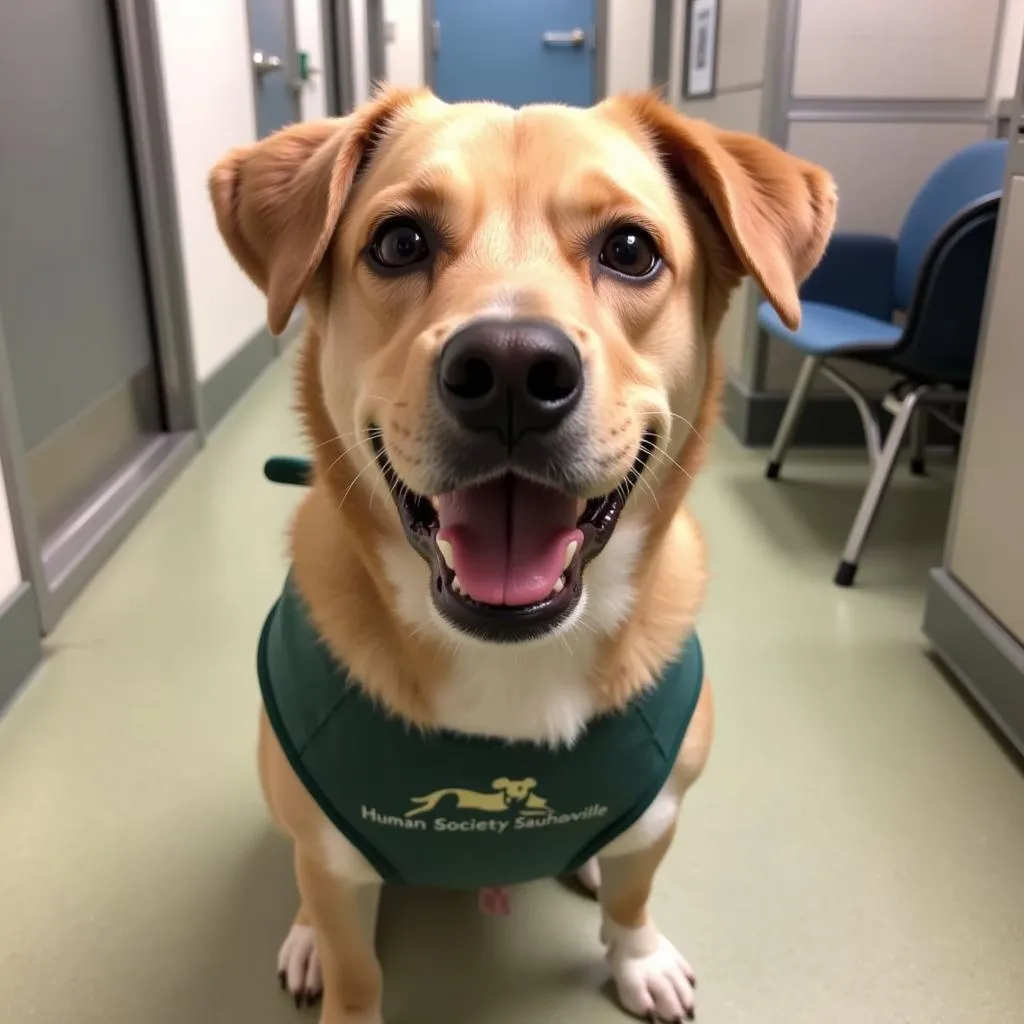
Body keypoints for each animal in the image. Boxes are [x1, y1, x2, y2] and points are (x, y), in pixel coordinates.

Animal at [207, 90, 831, 1024]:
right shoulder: (332, 855)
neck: (511, 658)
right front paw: (336, 966)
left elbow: (636, 895)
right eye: (399, 242)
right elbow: (355, 967)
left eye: (631, 250)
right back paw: (306, 937)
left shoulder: (663, 812)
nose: (509, 369)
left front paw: (639, 956)